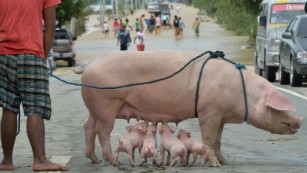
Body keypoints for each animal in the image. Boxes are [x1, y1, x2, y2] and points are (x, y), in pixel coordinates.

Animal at [73, 50, 306, 167]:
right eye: (281, 107)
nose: (300, 120)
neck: (244, 92)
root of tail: (89, 64)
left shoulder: (221, 114)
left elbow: (218, 139)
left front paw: (224, 161)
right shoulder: (209, 111)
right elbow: (209, 138)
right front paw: (216, 165)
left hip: (95, 106)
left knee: (87, 125)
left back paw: (94, 159)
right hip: (106, 103)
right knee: (102, 131)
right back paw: (112, 162)